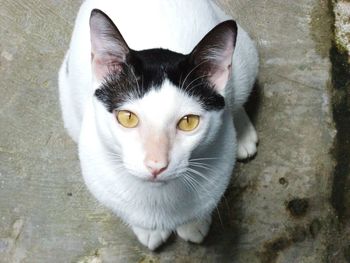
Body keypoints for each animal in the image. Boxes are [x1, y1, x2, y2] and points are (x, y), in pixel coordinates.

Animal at [58, 0, 258, 251]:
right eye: (128, 118)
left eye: (188, 122)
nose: (156, 165)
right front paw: (149, 230)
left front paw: (194, 224)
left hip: (245, 60)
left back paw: (243, 132)